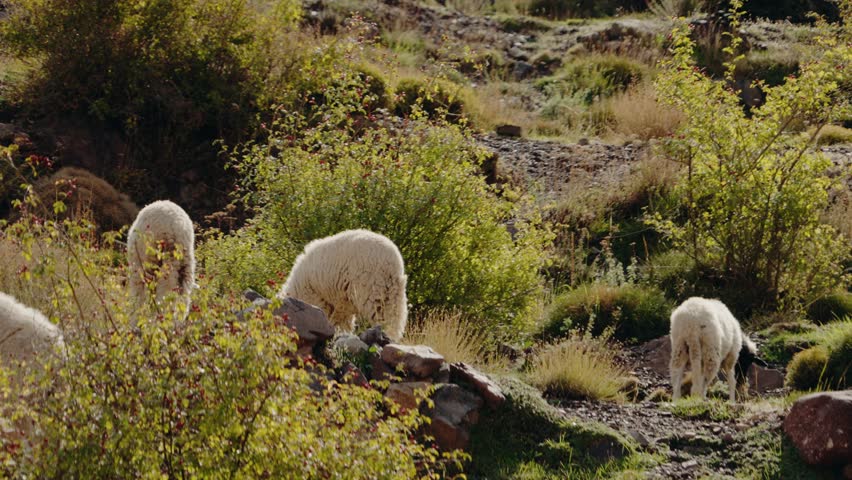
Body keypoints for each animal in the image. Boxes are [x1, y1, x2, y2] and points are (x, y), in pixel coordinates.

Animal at [277, 229, 408, 341]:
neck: (296, 288)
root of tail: (393, 264)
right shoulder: (343, 302)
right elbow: (342, 322)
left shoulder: (316, 296)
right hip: (392, 291)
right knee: (394, 315)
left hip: (372, 286)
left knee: (382, 316)